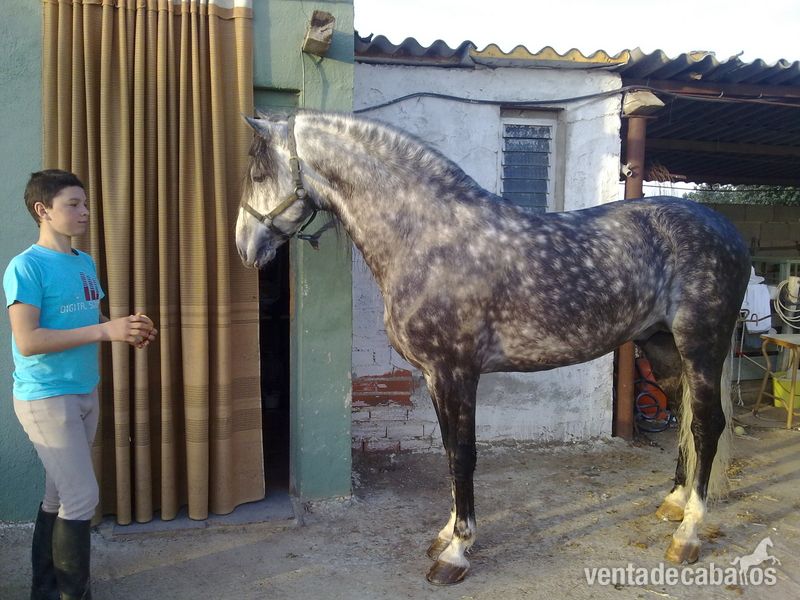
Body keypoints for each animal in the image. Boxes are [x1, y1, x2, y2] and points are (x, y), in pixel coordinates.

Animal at [234, 109, 751, 585]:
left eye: (258, 175)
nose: (244, 249)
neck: (427, 238)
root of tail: (727, 229)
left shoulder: (456, 372)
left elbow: (463, 456)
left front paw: (457, 553)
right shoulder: (434, 375)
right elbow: (449, 453)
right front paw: (446, 534)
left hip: (701, 345)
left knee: (706, 426)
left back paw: (687, 534)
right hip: (661, 346)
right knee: (683, 416)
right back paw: (673, 504)